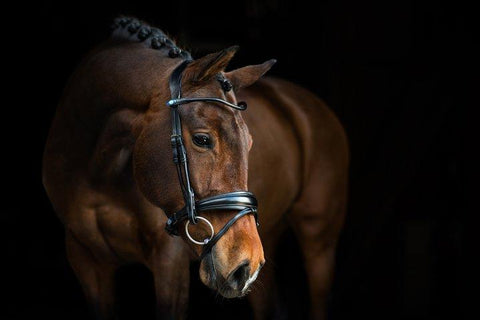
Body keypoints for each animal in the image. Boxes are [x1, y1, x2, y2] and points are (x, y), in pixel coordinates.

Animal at [42, 16, 348, 320]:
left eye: (249, 143)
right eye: (202, 139)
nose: (245, 264)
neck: (98, 172)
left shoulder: (169, 261)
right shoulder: (86, 260)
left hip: (318, 241)